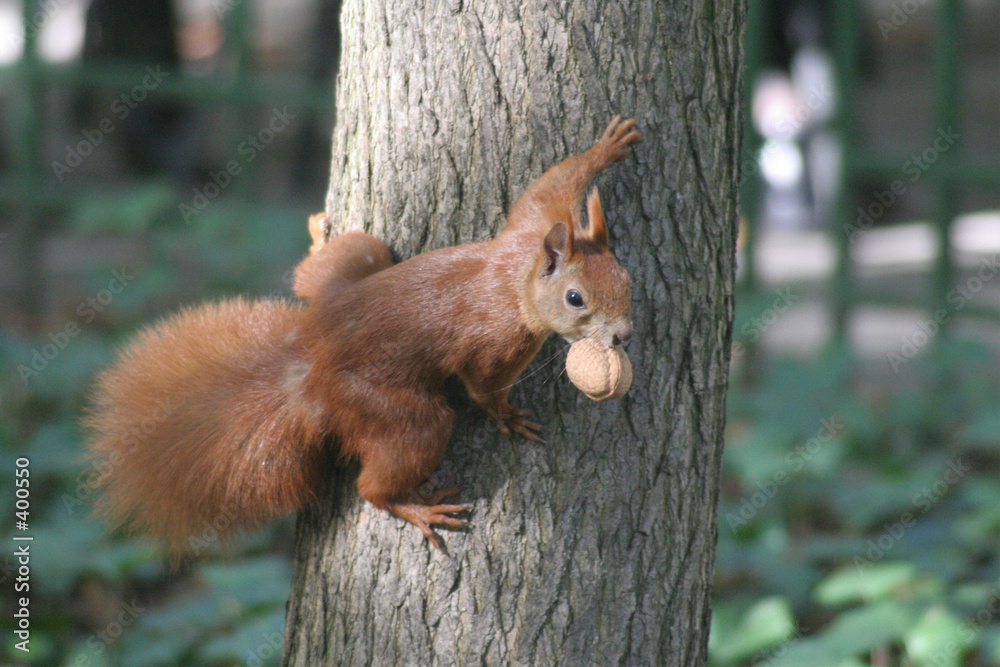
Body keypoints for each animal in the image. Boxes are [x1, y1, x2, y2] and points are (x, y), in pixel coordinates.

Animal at [85, 116, 640, 552]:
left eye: (627, 280)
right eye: (576, 299)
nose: (623, 337)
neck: (516, 280)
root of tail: (311, 366)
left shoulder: (533, 226)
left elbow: (546, 187)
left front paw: (607, 146)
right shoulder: (497, 341)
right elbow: (483, 386)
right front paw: (507, 416)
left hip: (357, 265)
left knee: (321, 272)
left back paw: (317, 237)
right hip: (391, 409)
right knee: (376, 481)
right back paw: (417, 508)